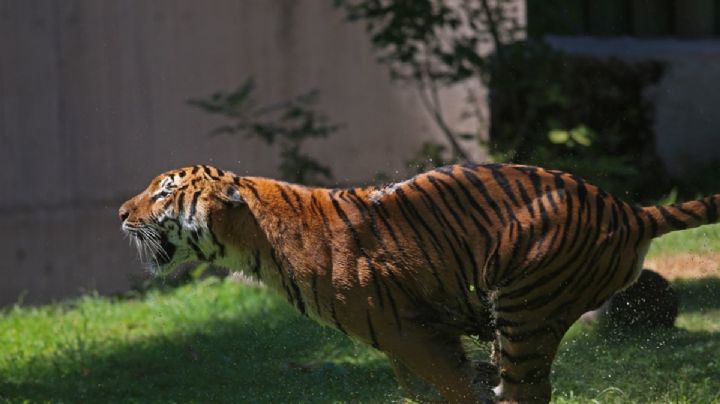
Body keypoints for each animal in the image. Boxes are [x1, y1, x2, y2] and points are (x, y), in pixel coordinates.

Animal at [119, 163, 719, 403]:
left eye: (163, 192)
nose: (121, 212)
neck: (253, 239)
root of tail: (629, 210)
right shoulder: (402, 345)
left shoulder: (411, 333)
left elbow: (458, 390)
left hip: (526, 307)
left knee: (526, 391)